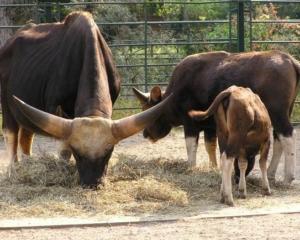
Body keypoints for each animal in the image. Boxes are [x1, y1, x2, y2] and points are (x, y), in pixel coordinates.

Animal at [0, 11, 171, 188]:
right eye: (77, 153)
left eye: (109, 152)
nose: (92, 183)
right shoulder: (56, 110)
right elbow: (63, 150)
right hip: (6, 103)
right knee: (10, 133)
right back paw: (13, 170)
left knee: (26, 136)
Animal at [134, 50, 300, 184]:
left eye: (147, 112)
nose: (145, 134)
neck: (176, 92)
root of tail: (290, 60)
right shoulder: (210, 126)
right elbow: (210, 146)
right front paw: (213, 168)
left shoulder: (190, 124)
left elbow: (191, 146)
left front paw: (191, 168)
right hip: (285, 111)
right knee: (278, 138)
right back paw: (271, 173)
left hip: (277, 112)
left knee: (288, 135)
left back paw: (288, 177)